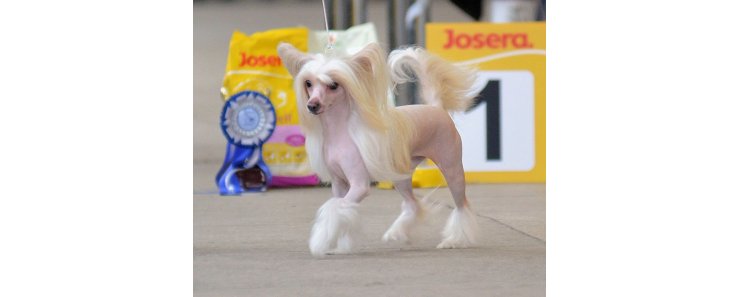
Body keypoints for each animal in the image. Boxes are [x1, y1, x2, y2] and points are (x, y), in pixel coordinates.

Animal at [278, 42, 480, 256]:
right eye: (308, 83)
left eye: (333, 85)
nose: (312, 105)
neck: (339, 132)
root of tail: (436, 108)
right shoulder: (339, 184)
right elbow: (341, 211)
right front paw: (340, 246)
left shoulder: (359, 185)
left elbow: (335, 208)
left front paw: (320, 241)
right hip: (401, 176)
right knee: (413, 204)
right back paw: (397, 233)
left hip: (452, 168)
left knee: (461, 205)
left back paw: (456, 240)